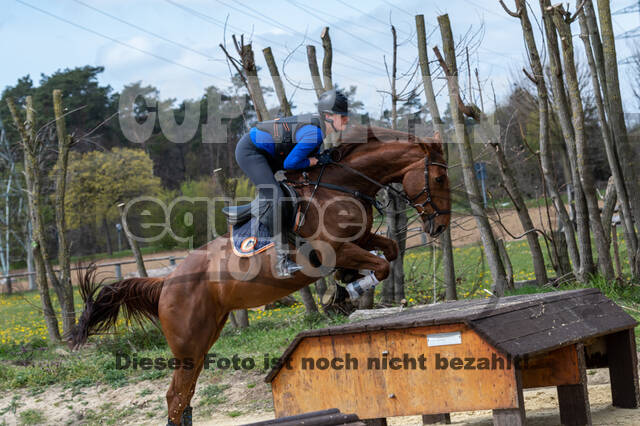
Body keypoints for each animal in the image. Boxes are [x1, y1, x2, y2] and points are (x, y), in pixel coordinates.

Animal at [70, 125, 450, 424]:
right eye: (439, 177)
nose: (441, 226)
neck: (341, 187)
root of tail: (166, 282)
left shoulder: (361, 239)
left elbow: (389, 251)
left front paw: (344, 287)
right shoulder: (334, 249)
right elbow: (381, 265)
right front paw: (345, 291)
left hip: (204, 338)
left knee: (184, 396)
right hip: (187, 343)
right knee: (175, 397)